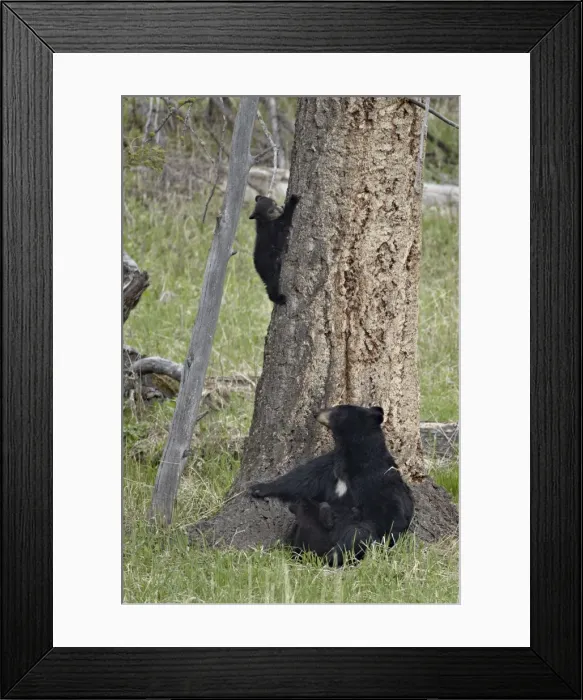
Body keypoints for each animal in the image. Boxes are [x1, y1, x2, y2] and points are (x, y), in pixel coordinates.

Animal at [250, 404, 414, 551]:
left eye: (338, 409)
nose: (316, 412)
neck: (351, 456)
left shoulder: (378, 479)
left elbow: (392, 512)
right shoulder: (330, 465)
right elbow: (302, 478)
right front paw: (258, 488)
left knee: (357, 534)